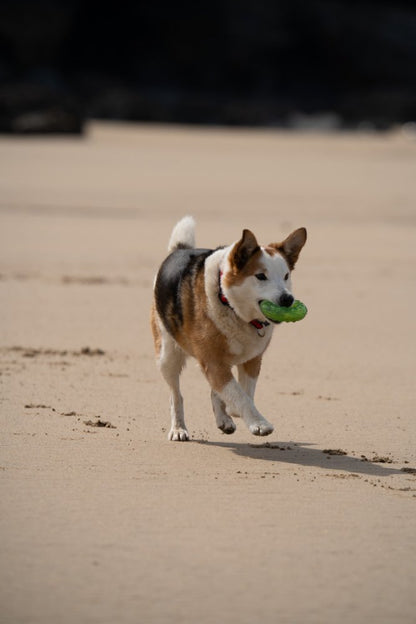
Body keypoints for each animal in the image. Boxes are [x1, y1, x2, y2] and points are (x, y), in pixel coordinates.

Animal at [151, 217, 308, 442]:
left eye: (286, 276)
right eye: (261, 276)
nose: (288, 299)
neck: (229, 303)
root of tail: (179, 249)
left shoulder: (252, 360)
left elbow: (244, 392)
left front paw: (233, 412)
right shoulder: (213, 361)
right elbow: (240, 396)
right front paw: (259, 423)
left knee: (214, 391)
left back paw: (223, 419)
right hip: (167, 355)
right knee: (176, 395)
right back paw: (178, 429)